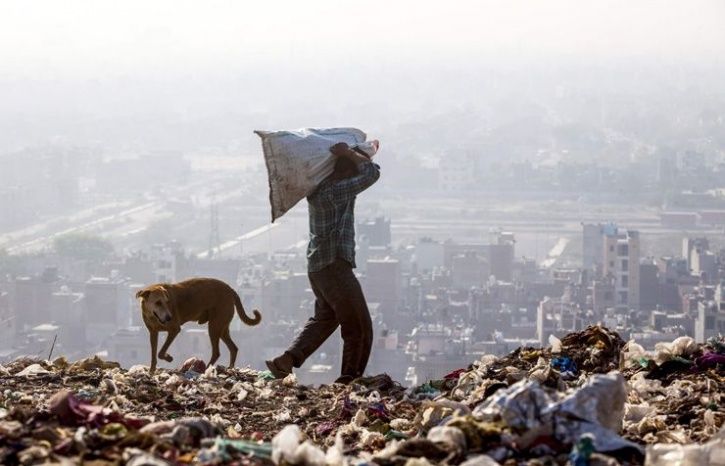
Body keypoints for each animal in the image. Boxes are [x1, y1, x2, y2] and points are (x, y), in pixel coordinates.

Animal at [134, 278, 262, 374]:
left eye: (167, 302)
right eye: (158, 303)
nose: (169, 317)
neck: (152, 316)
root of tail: (231, 290)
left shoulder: (174, 329)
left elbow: (160, 352)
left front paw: (168, 357)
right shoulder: (153, 333)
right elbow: (154, 354)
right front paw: (151, 371)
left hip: (214, 326)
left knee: (217, 352)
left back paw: (206, 369)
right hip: (222, 328)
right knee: (233, 348)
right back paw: (230, 368)